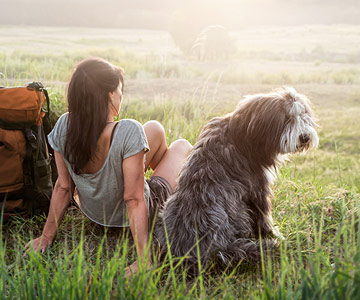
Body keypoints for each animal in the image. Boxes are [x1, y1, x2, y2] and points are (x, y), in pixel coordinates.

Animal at [155, 86, 318, 270]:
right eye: (287, 118)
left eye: (303, 115)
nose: (304, 137)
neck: (244, 133)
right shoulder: (257, 187)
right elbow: (263, 215)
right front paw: (273, 234)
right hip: (239, 210)